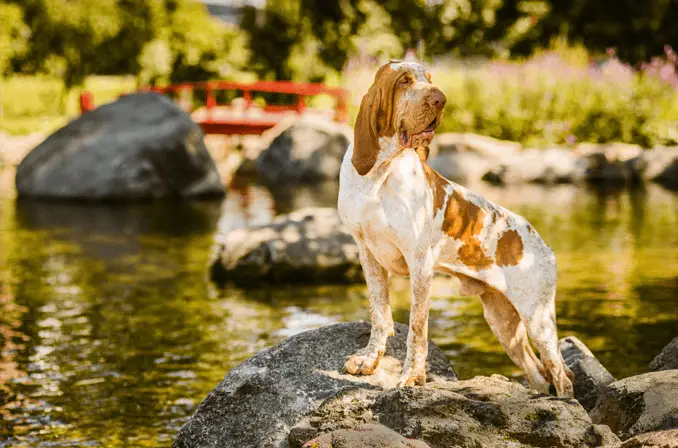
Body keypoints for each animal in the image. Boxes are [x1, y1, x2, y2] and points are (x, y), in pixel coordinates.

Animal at [338, 61, 572, 398]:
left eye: (429, 79)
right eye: (405, 81)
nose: (440, 99)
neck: (380, 175)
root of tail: (545, 246)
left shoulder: (420, 265)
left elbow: (416, 330)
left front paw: (412, 377)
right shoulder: (367, 253)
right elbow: (379, 314)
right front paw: (370, 360)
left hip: (538, 319)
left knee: (562, 375)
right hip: (503, 322)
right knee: (538, 374)